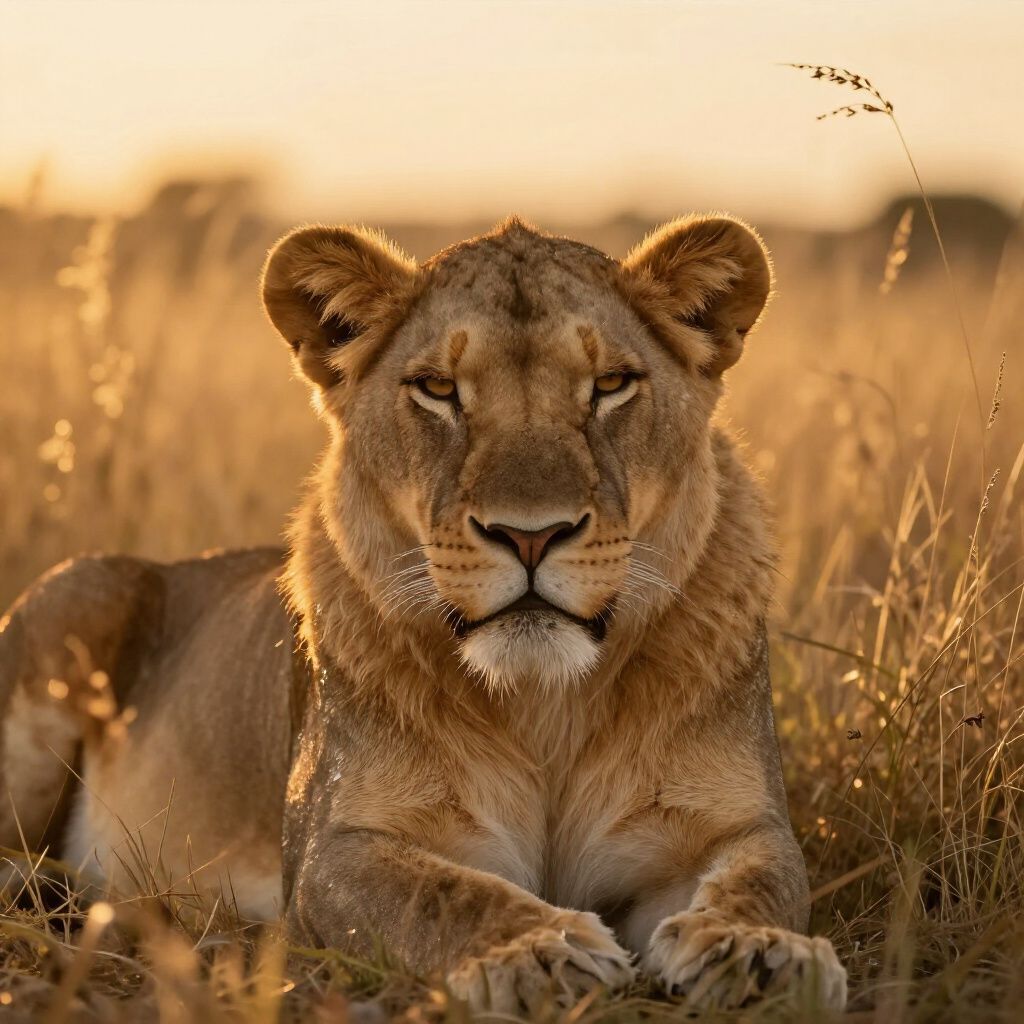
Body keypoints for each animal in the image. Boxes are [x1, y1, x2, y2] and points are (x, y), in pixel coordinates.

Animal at [0, 215, 847, 1013]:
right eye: (438, 388)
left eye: (611, 383)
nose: (530, 534)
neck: (545, 706)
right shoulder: (331, 852)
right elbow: (439, 895)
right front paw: (538, 954)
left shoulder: (730, 825)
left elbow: (766, 877)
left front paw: (759, 951)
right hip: (77, 602)